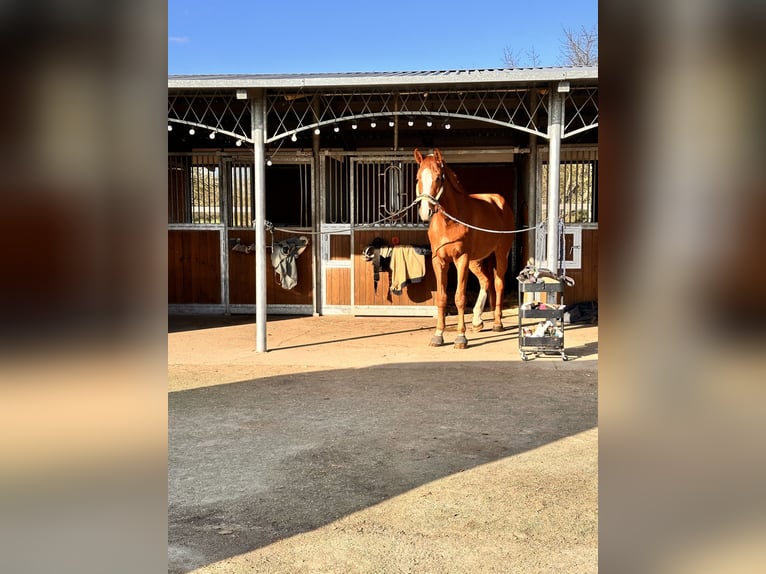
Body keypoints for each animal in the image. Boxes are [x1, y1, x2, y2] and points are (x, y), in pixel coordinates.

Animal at [414, 148, 515, 348]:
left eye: (438, 178)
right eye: (418, 177)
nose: (425, 211)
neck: (449, 222)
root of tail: (500, 203)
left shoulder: (461, 259)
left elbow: (459, 297)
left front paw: (461, 337)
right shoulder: (439, 261)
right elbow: (442, 298)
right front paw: (438, 335)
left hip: (500, 254)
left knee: (498, 284)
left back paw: (497, 323)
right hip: (476, 260)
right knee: (486, 281)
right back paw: (477, 321)